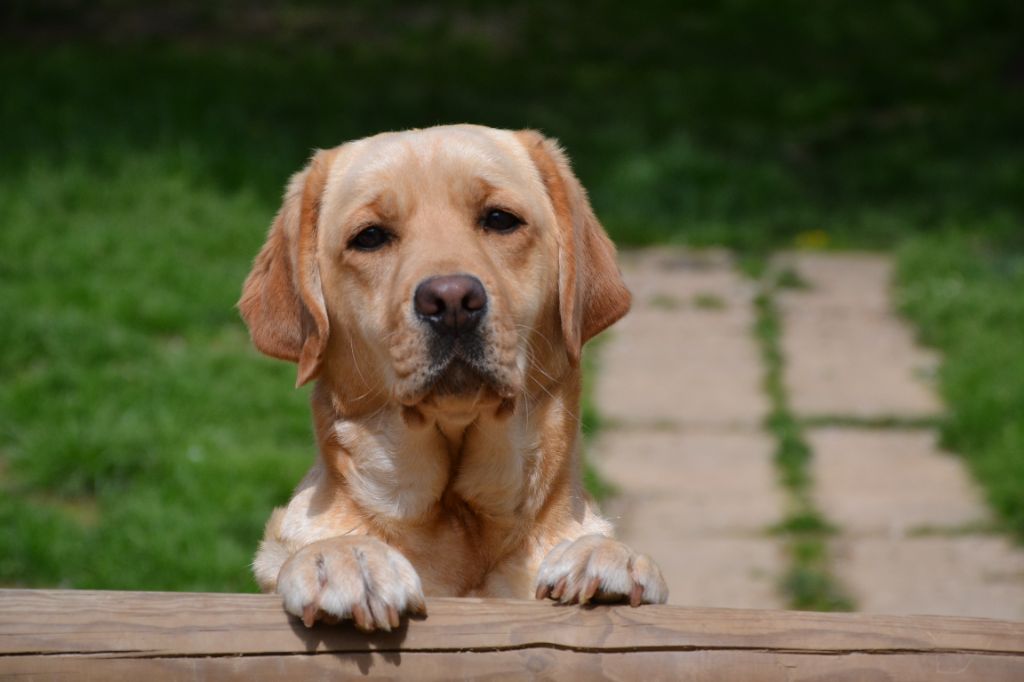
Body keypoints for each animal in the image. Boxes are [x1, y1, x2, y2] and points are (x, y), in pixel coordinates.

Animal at [240, 124, 671, 630]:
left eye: (500, 219)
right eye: (370, 237)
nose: (451, 301)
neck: (462, 524)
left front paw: (606, 556)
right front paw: (346, 559)